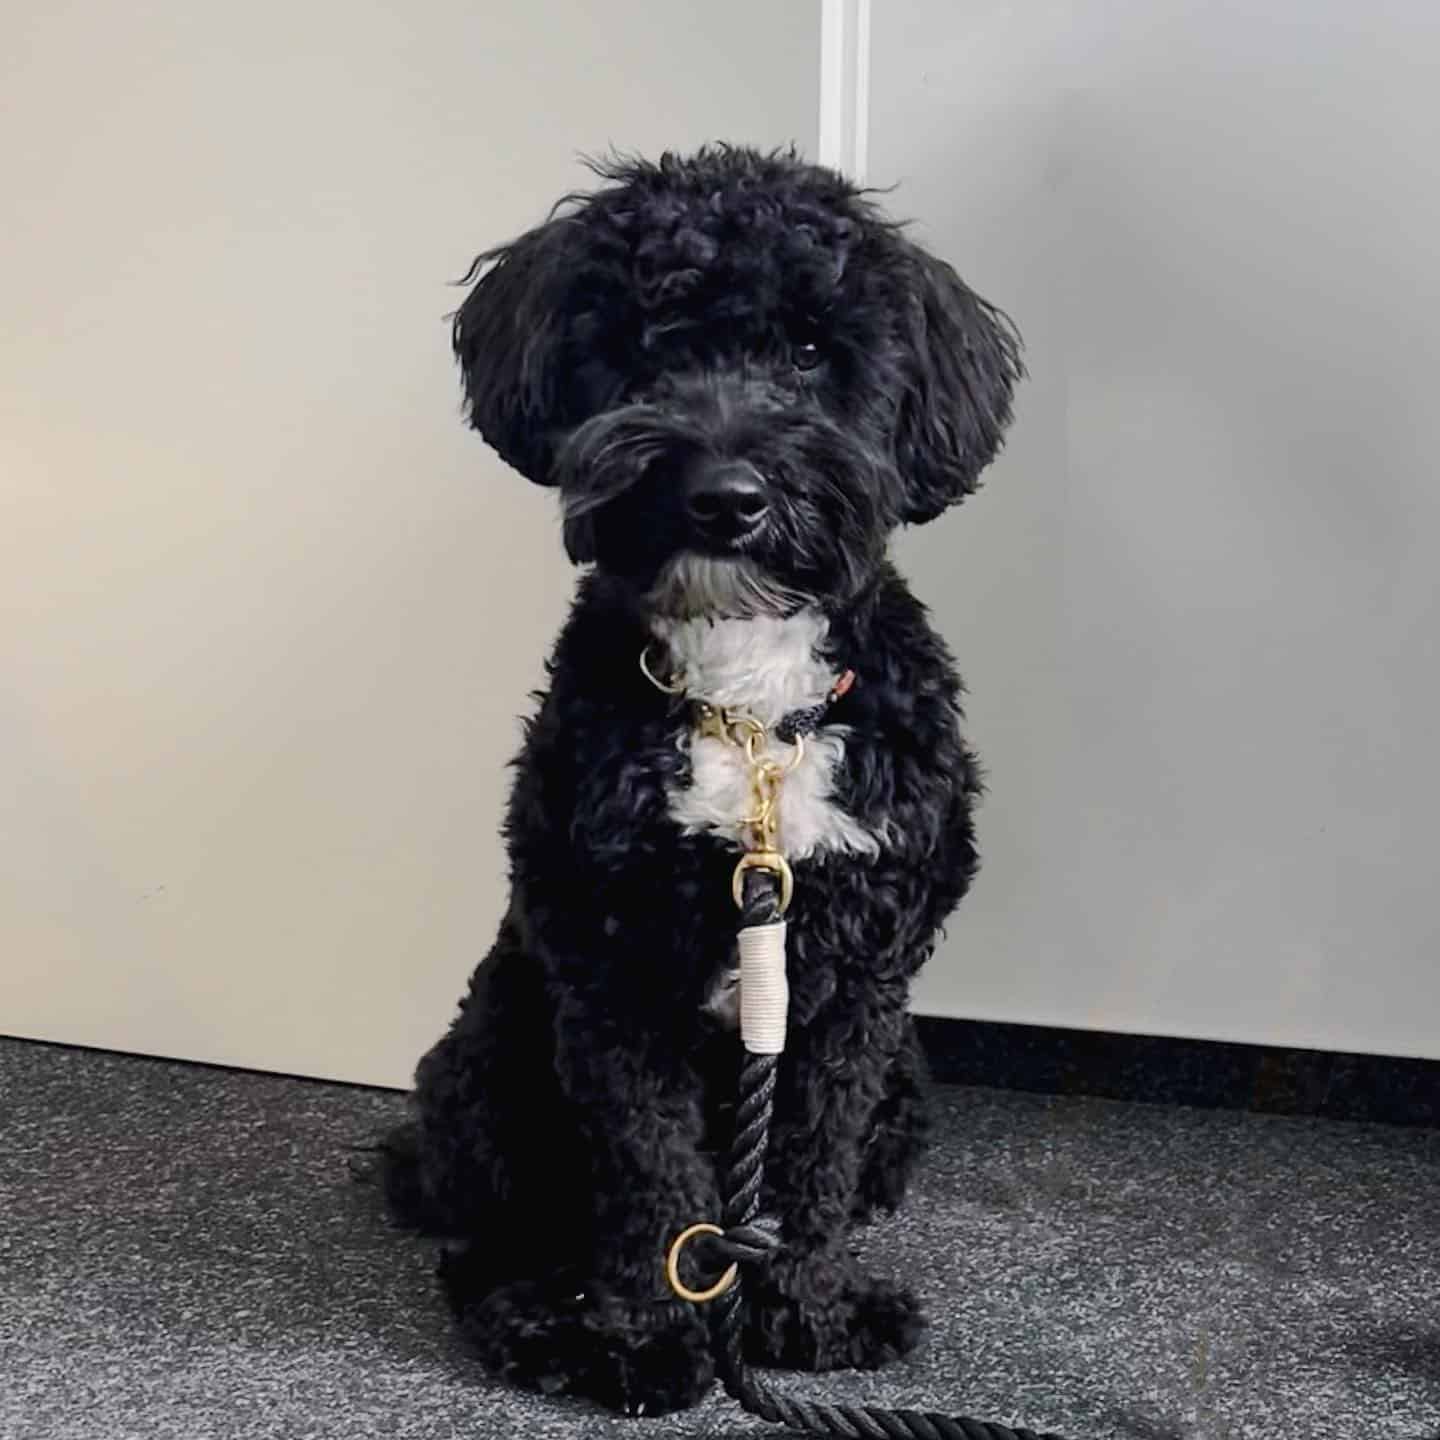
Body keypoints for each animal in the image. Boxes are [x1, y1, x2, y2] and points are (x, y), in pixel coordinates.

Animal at [377, 146, 1019, 1416]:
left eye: (813, 350)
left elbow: (811, 1167)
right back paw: (537, 1314)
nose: (727, 493)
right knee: (488, 1233)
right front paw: (638, 1333)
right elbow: (645, 1168)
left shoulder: (858, 982)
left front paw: (810, 1312)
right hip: (493, 1053)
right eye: (642, 342)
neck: (750, 699)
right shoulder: (608, 962)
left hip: (907, 1089)